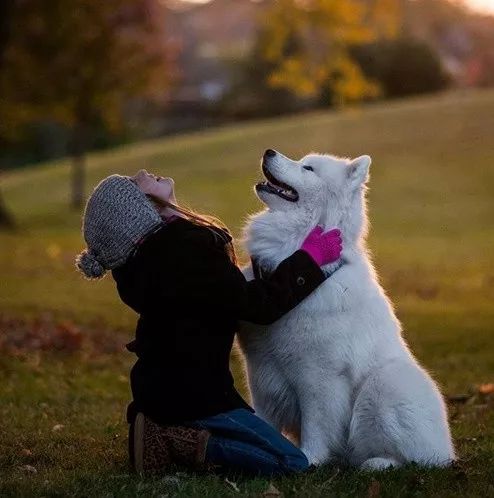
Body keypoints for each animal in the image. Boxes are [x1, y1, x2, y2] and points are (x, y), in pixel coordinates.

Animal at [237, 149, 458, 470]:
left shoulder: (319, 376)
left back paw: (377, 463)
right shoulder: (261, 373)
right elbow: (264, 420)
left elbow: (316, 426)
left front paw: (309, 460)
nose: (269, 151)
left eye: (308, 168)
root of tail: (448, 451)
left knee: (413, 458)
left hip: (384, 384)